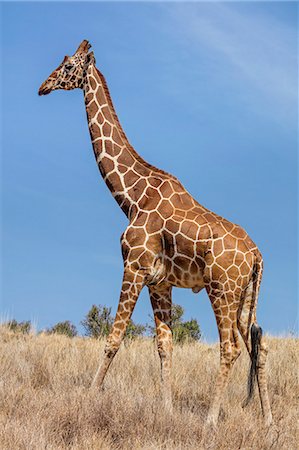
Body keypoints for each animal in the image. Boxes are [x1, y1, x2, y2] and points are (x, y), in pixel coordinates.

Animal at [38, 40, 274, 428]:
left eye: (69, 66)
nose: (43, 86)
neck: (131, 196)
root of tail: (257, 256)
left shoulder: (134, 266)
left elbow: (114, 337)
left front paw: (89, 395)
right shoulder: (160, 281)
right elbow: (164, 345)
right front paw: (166, 408)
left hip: (221, 290)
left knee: (230, 348)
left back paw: (211, 419)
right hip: (245, 297)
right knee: (260, 343)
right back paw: (267, 420)